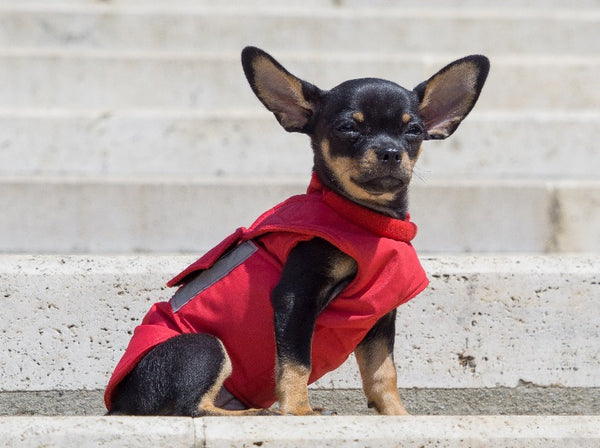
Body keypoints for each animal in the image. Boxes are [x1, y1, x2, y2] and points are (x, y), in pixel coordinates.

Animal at [105, 46, 490, 416]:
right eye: (348, 128)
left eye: (414, 132)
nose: (391, 152)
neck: (365, 219)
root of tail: (123, 404)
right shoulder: (295, 298)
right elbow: (295, 363)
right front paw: (297, 410)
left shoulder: (380, 316)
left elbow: (382, 372)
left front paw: (398, 415)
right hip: (204, 346)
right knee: (191, 408)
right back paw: (262, 414)